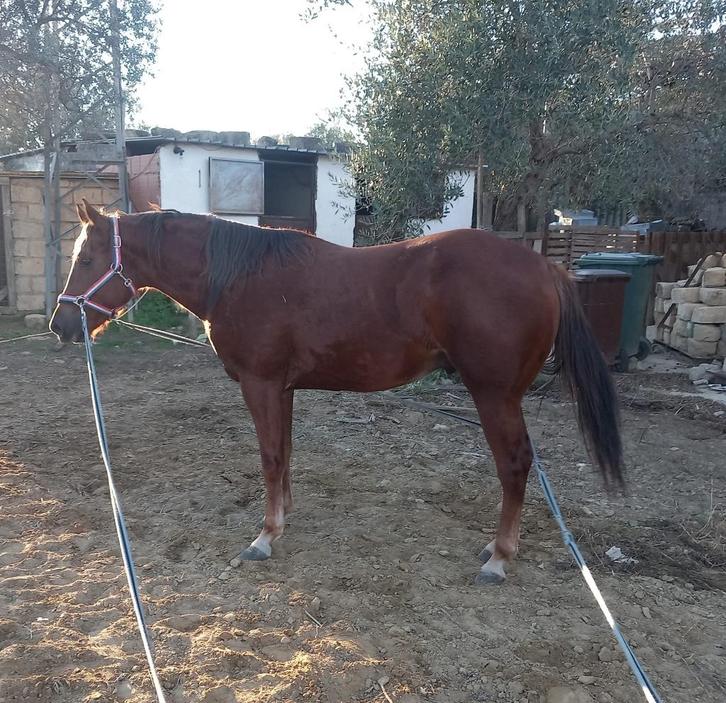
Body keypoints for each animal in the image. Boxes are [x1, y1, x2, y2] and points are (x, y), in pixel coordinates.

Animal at [50, 201, 624, 585]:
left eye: (85, 259)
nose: (61, 325)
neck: (239, 277)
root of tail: (545, 266)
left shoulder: (260, 384)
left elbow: (269, 456)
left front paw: (264, 537)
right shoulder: (282, 388)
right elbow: (284, 455)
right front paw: (282, 519)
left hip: (494, 395)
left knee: (515, 464)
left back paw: (500, 558)